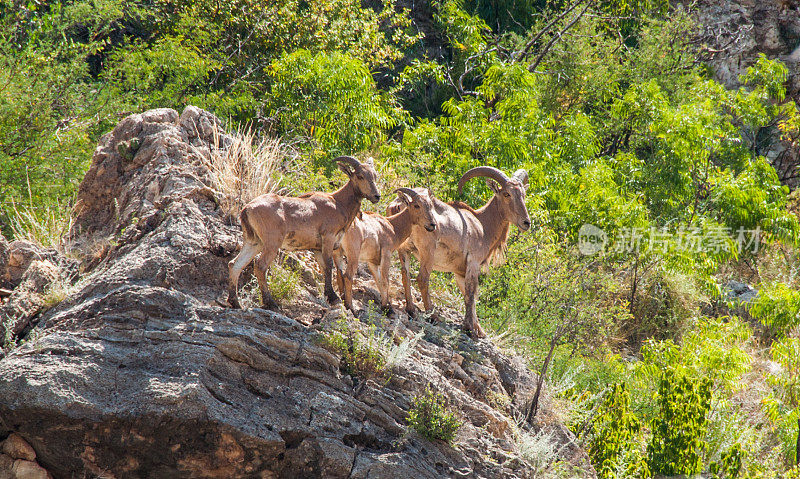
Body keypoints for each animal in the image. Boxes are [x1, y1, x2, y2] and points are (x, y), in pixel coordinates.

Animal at [228, 156, 382, 310]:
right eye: (360, 176)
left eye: (374, 176)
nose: (376, 196)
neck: (339, 204)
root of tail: (247, 209)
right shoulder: (328, 238)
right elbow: (329, 265)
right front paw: (333, 297)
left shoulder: (317, 248)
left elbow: (324, 267)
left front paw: (330, 296)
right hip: (272, 243)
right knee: (260, 266)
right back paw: (270, 303)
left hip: (254, 242)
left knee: (235, 264)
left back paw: (235, 302)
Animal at [336, 186, 440, 314]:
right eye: (416, 205)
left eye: (430, 205)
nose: (432, 225)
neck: (392, 226)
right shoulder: (386, 254)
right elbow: (385, 280)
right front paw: (387, 308)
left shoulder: (372, 262)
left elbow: (379, 281)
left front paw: (386, 305)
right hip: (353, 254)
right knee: (348, 276)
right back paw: (351, 307)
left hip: (337, 252)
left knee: (339, 273)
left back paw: (342, 299)